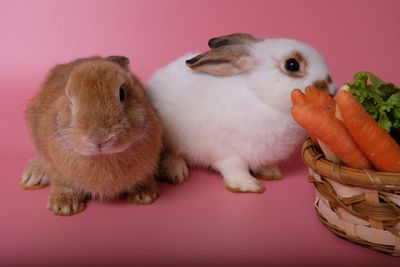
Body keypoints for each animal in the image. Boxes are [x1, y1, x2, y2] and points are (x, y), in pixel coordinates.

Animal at [20, 55, 162, 217]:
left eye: (122, 93)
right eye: (71, 99)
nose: (99, 138)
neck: (102, 157)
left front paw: (144, 195)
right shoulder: (56, 168)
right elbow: (63, 183)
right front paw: (64, 206)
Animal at [146, 33, 334, 193]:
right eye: (292, 64)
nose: (331, 91)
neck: (261, 97)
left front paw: (271, 173)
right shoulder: (230, 154)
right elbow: (235, 169)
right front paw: (248, 186)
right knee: (170, 153)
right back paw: (177, 172)